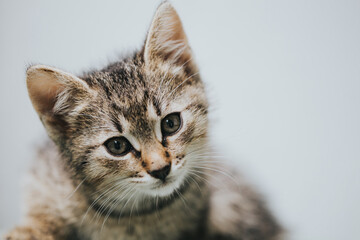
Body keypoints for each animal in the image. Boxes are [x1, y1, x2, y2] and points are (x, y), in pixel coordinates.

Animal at [4, 2, 282, 240]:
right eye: (117, 146)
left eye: (171, 123)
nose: (160, 169)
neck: (132, 217)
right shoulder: (41, 182)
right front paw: (28, 231)